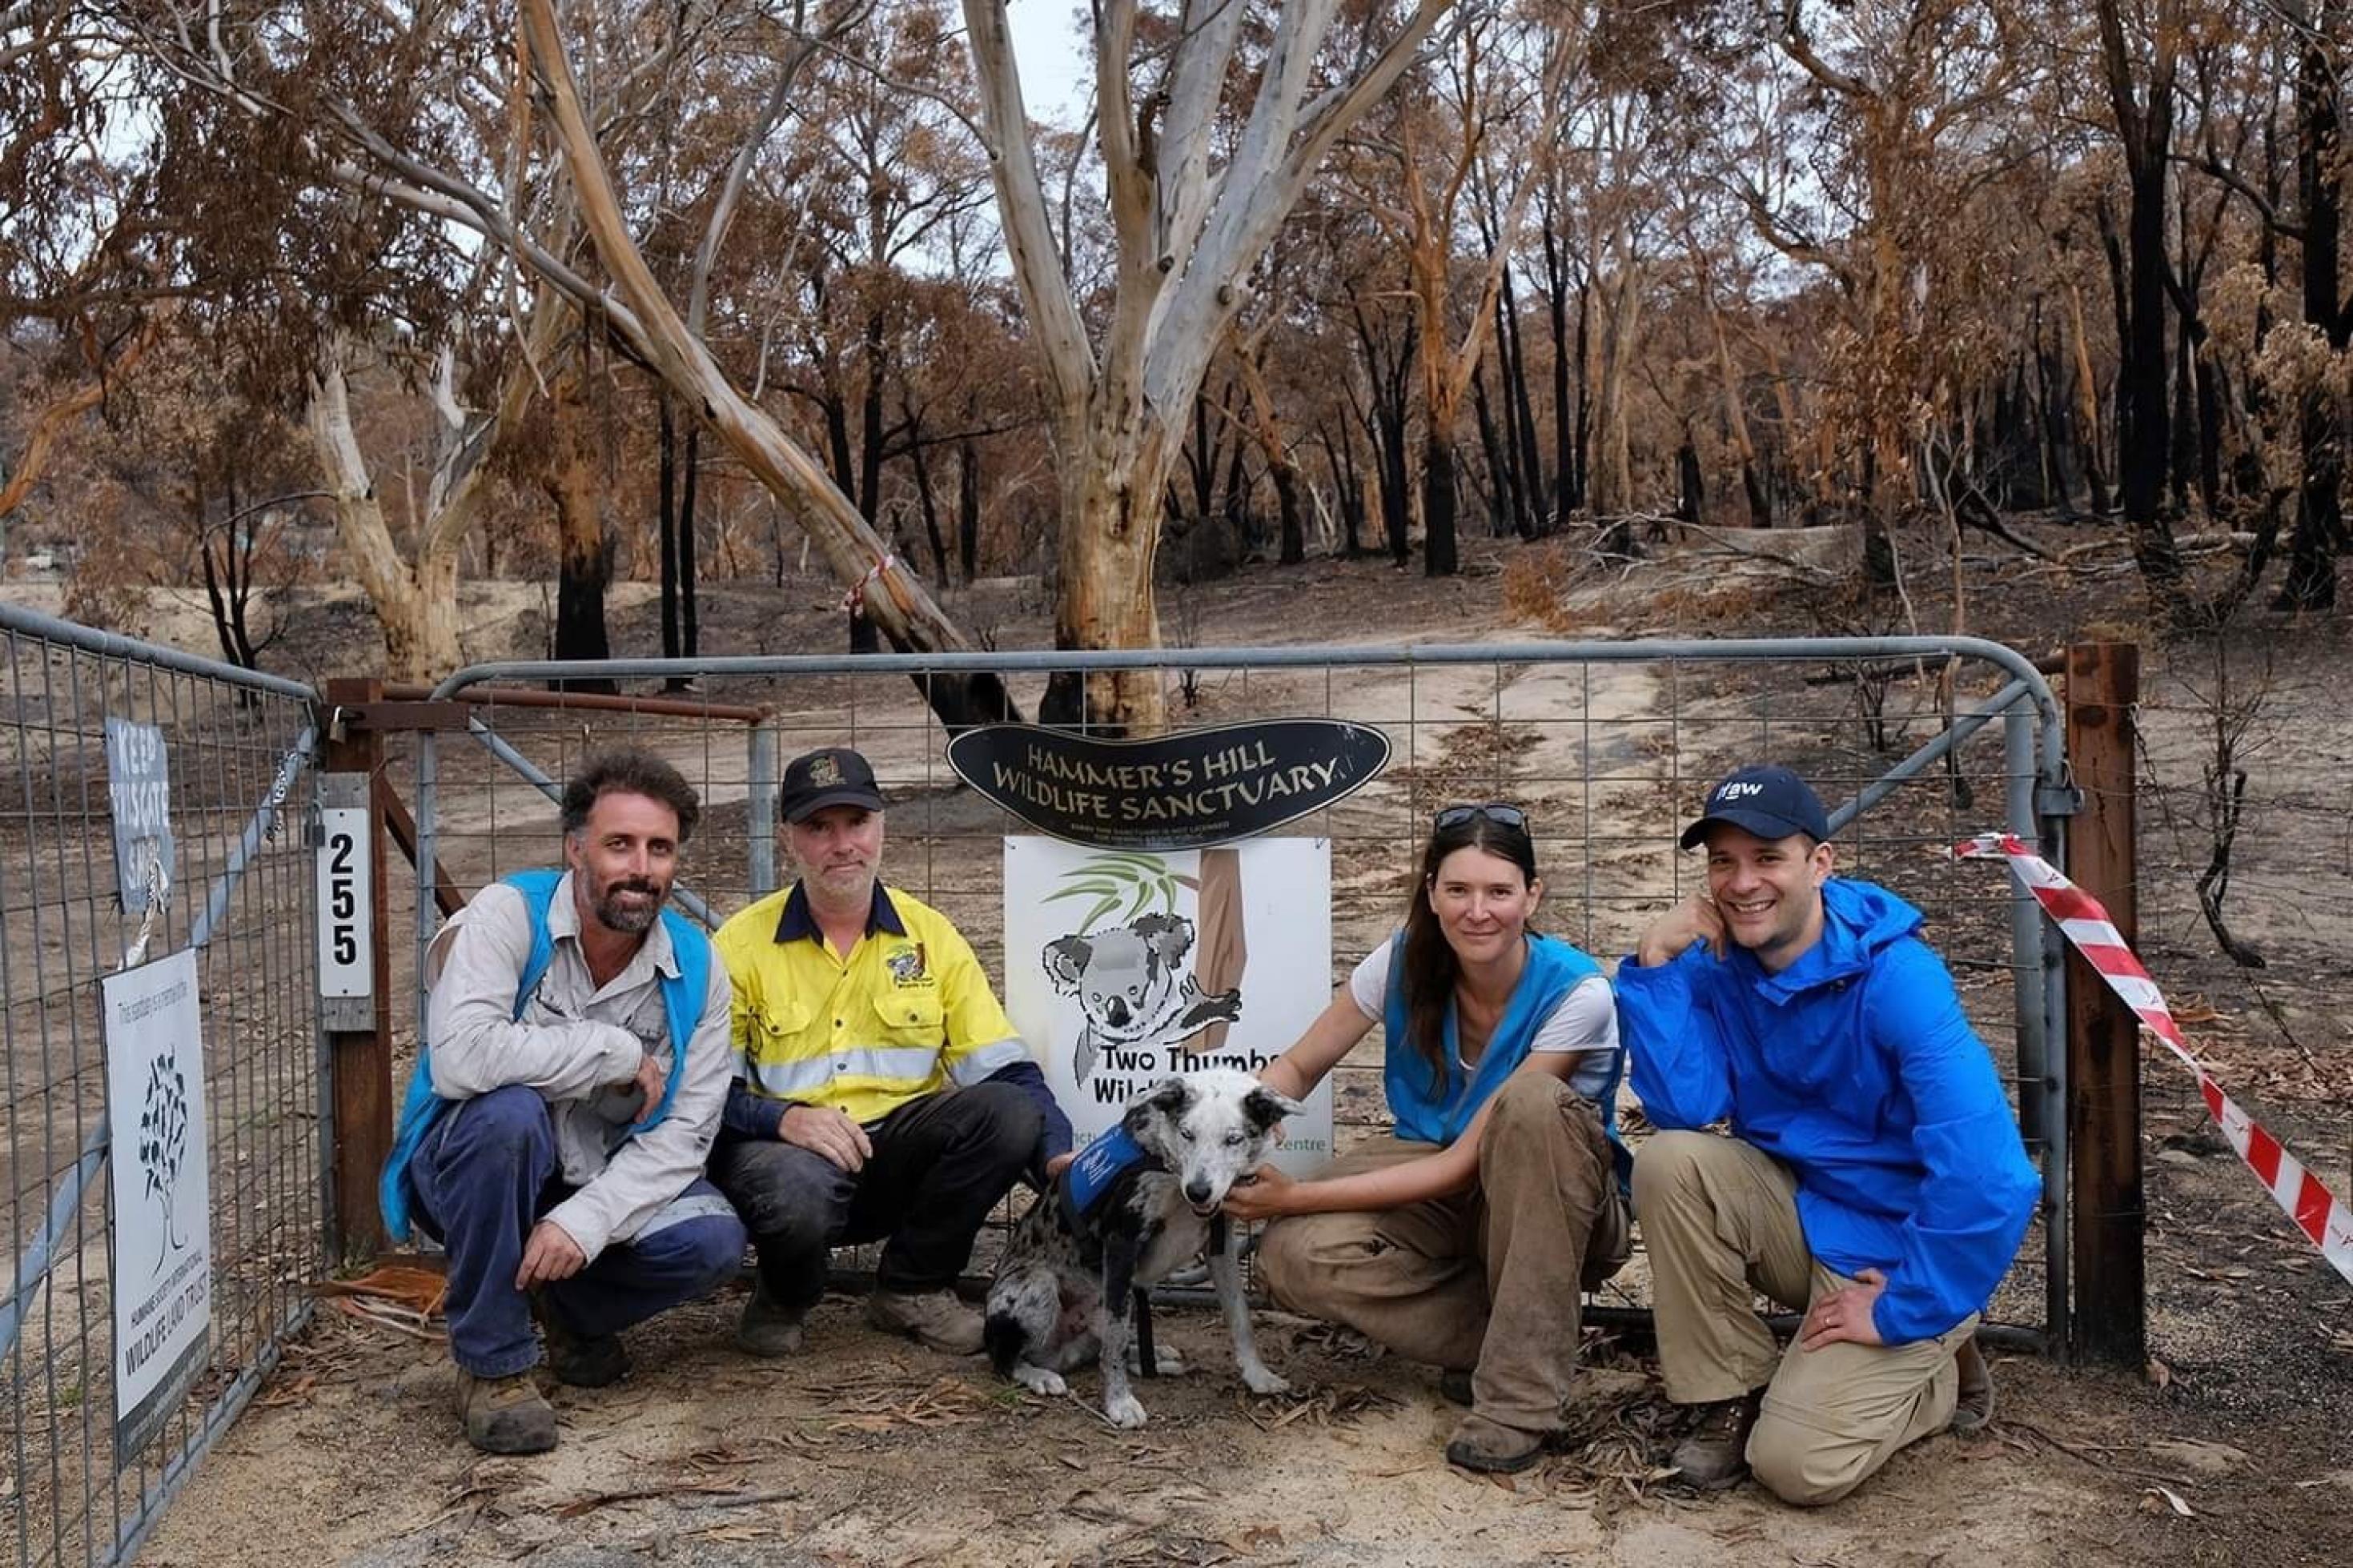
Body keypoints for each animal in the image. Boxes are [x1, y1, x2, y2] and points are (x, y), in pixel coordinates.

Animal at [978, 1072, 1299, 1429]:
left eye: (1234, 1139)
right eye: (1187, 1133)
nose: (1198, 1191)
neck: (1168, 1168)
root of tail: (1060, 1353)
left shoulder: (1221, 1245)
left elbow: (1240, 1316)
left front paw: (1258, 1375)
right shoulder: (1121, 1243)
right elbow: (1116, 1339)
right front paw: (1119, 1403)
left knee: (1099, 1348)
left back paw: (1154, 1356)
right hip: (1039, 1285)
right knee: (1006, 1358)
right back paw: (1040, 1375)